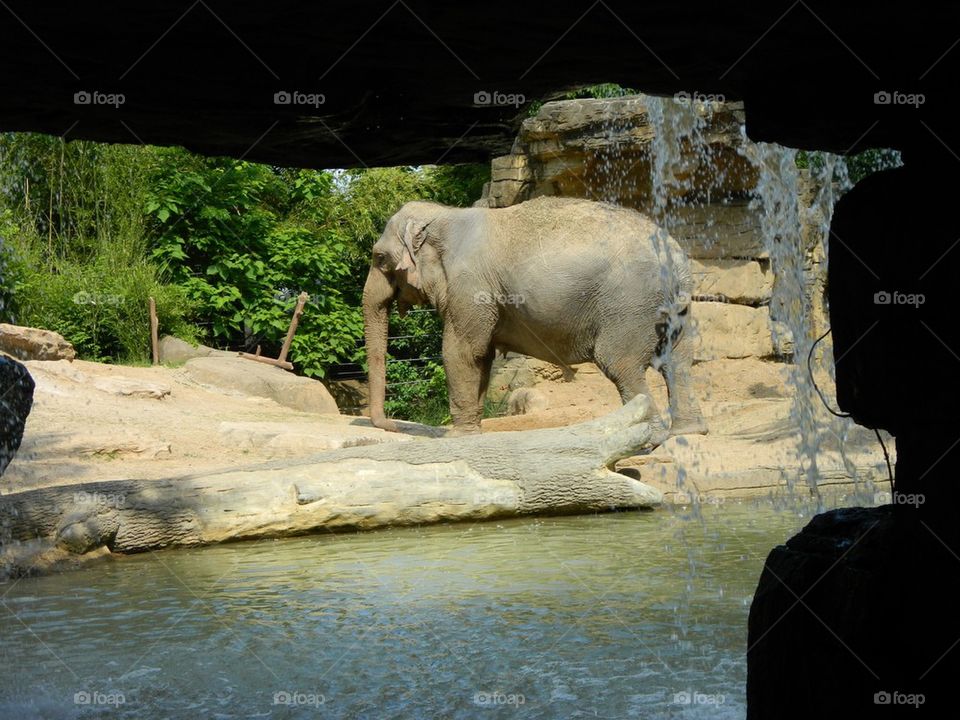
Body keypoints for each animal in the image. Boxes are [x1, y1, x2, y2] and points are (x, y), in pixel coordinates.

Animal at [362, 196, 707, 440]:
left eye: (379, 257)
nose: (390, 425)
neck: (445, 214)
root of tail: (677, 257)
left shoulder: (471, 286)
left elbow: (462, 352)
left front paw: (455, 437)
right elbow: (482, 356)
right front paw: (473, 433)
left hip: (629, 304)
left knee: (621, 363)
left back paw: (650, 438)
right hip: (675, 309)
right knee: (678, 361)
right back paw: (687, 432)